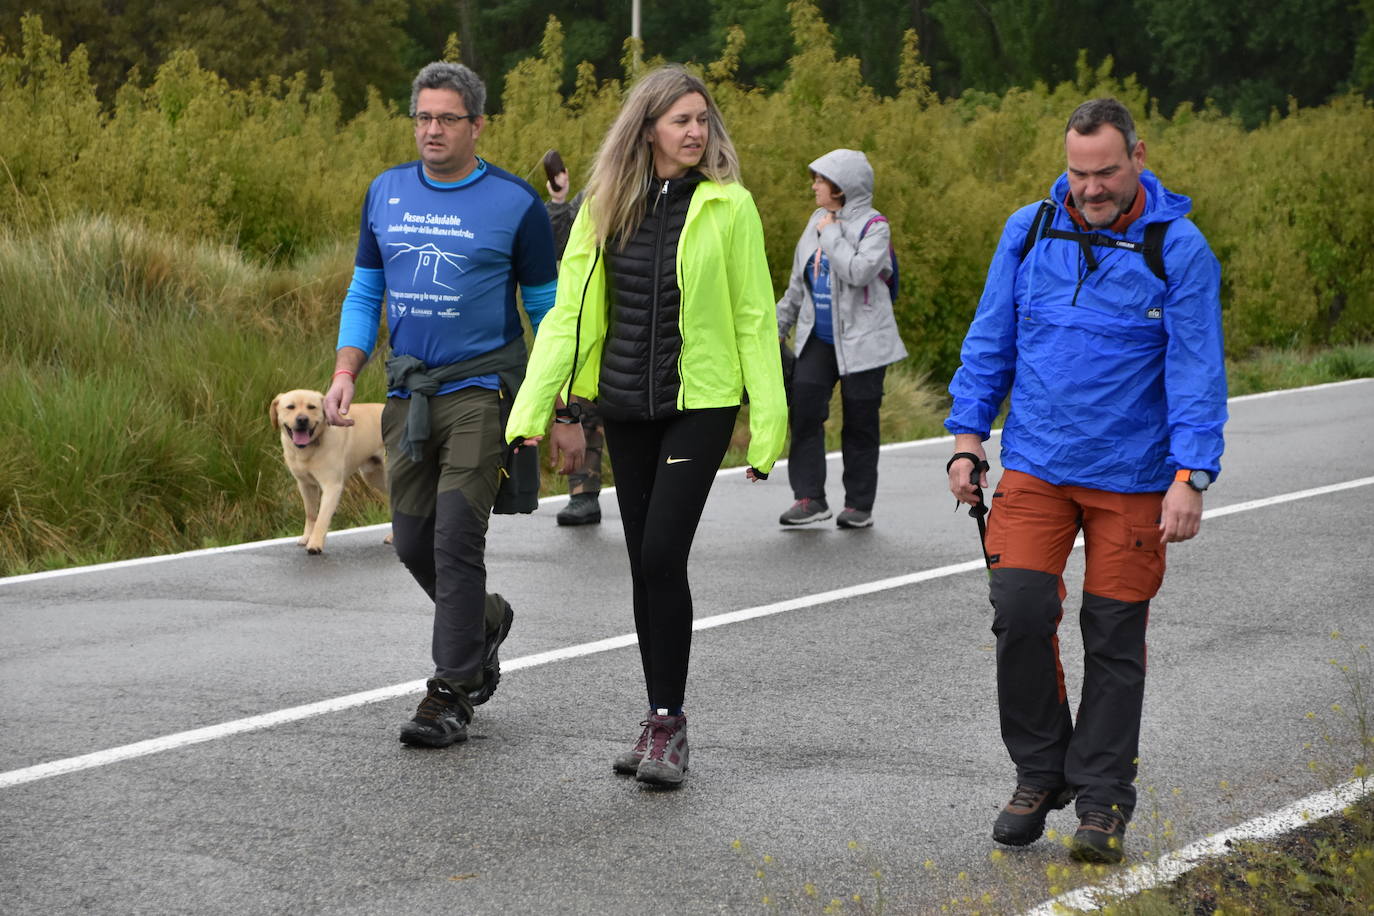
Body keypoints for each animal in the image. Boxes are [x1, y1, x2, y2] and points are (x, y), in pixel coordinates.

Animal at [267, 390, 390, 554]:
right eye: (290, 407)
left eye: (311, 407)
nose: (302, 420)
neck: (308, 449)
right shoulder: (305, 485)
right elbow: (311, 514)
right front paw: (307, 537)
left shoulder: (332, 486)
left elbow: (322, 518)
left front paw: (315, 544)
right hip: (374, 476)